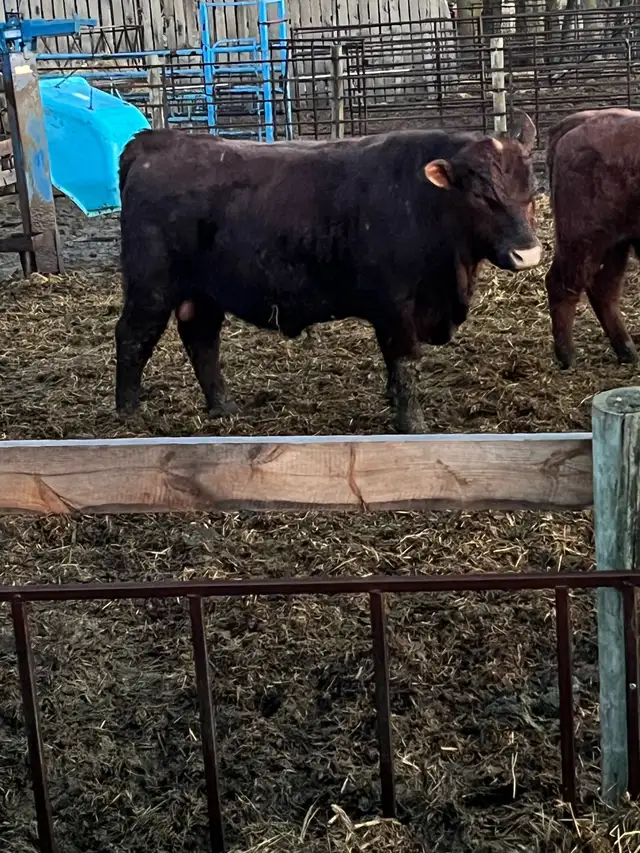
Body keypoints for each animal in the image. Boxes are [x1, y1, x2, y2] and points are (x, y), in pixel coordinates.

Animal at [115, 116, 542, 434]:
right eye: (481, 196)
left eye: (532, 190)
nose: (528, 253)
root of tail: (159, 142)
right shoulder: (395, 308)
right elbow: (404, 364)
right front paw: (412, 423)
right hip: (150, 287)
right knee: (133, 337)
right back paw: (128, 414)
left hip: (202, 293)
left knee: (201, 339)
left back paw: (225, 407)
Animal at [545, 107, 640, 369]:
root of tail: (580, 121)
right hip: (584, 241)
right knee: (561, 285)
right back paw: (568, 357)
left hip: (616, 245)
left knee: (603, 288)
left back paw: (627, 351)